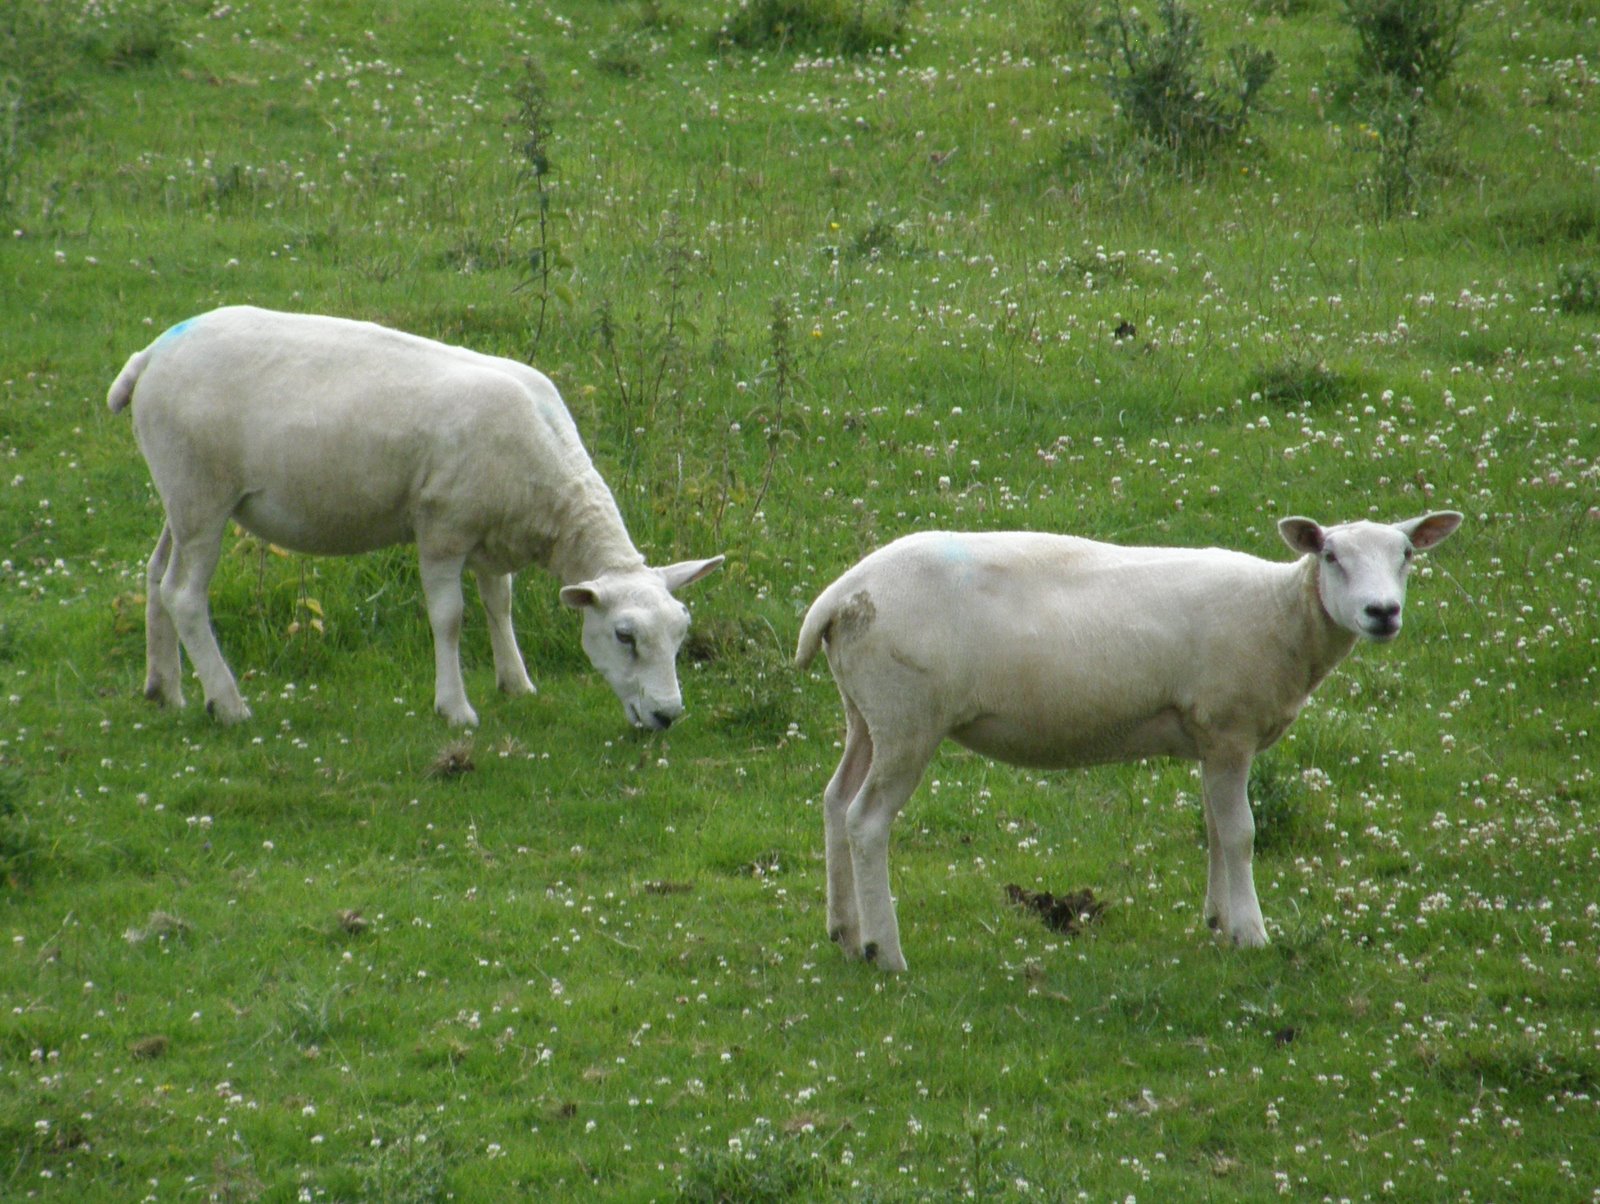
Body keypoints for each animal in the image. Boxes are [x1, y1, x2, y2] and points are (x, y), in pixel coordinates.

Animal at [108, 306, 723, 729]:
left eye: (681, 632)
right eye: (624, 636)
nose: (667, 716)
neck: (554, 488)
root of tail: (149, 356)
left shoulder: (494, 534)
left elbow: (499, 604)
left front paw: (516, 683)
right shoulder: (443, 529)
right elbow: (450, 618)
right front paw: (455, 709)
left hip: (181, 495)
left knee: (155, 576)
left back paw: (164, 689)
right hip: (202, 495)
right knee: (185, 594)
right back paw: (228, 703)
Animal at [795, 513, 1462, 972]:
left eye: (1406, 554)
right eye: (1330, 554)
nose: (1383, 612)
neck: (1281, 613)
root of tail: (841, 594)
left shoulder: (1211, 740)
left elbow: (1214, 829)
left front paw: (1219, 920)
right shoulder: (1229, 727)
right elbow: (1241, 833)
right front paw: (1251, 932)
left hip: (866, 712)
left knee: (834, 800)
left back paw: (844, 933)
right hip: (908, 716)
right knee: (866, 819)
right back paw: (885, 952)